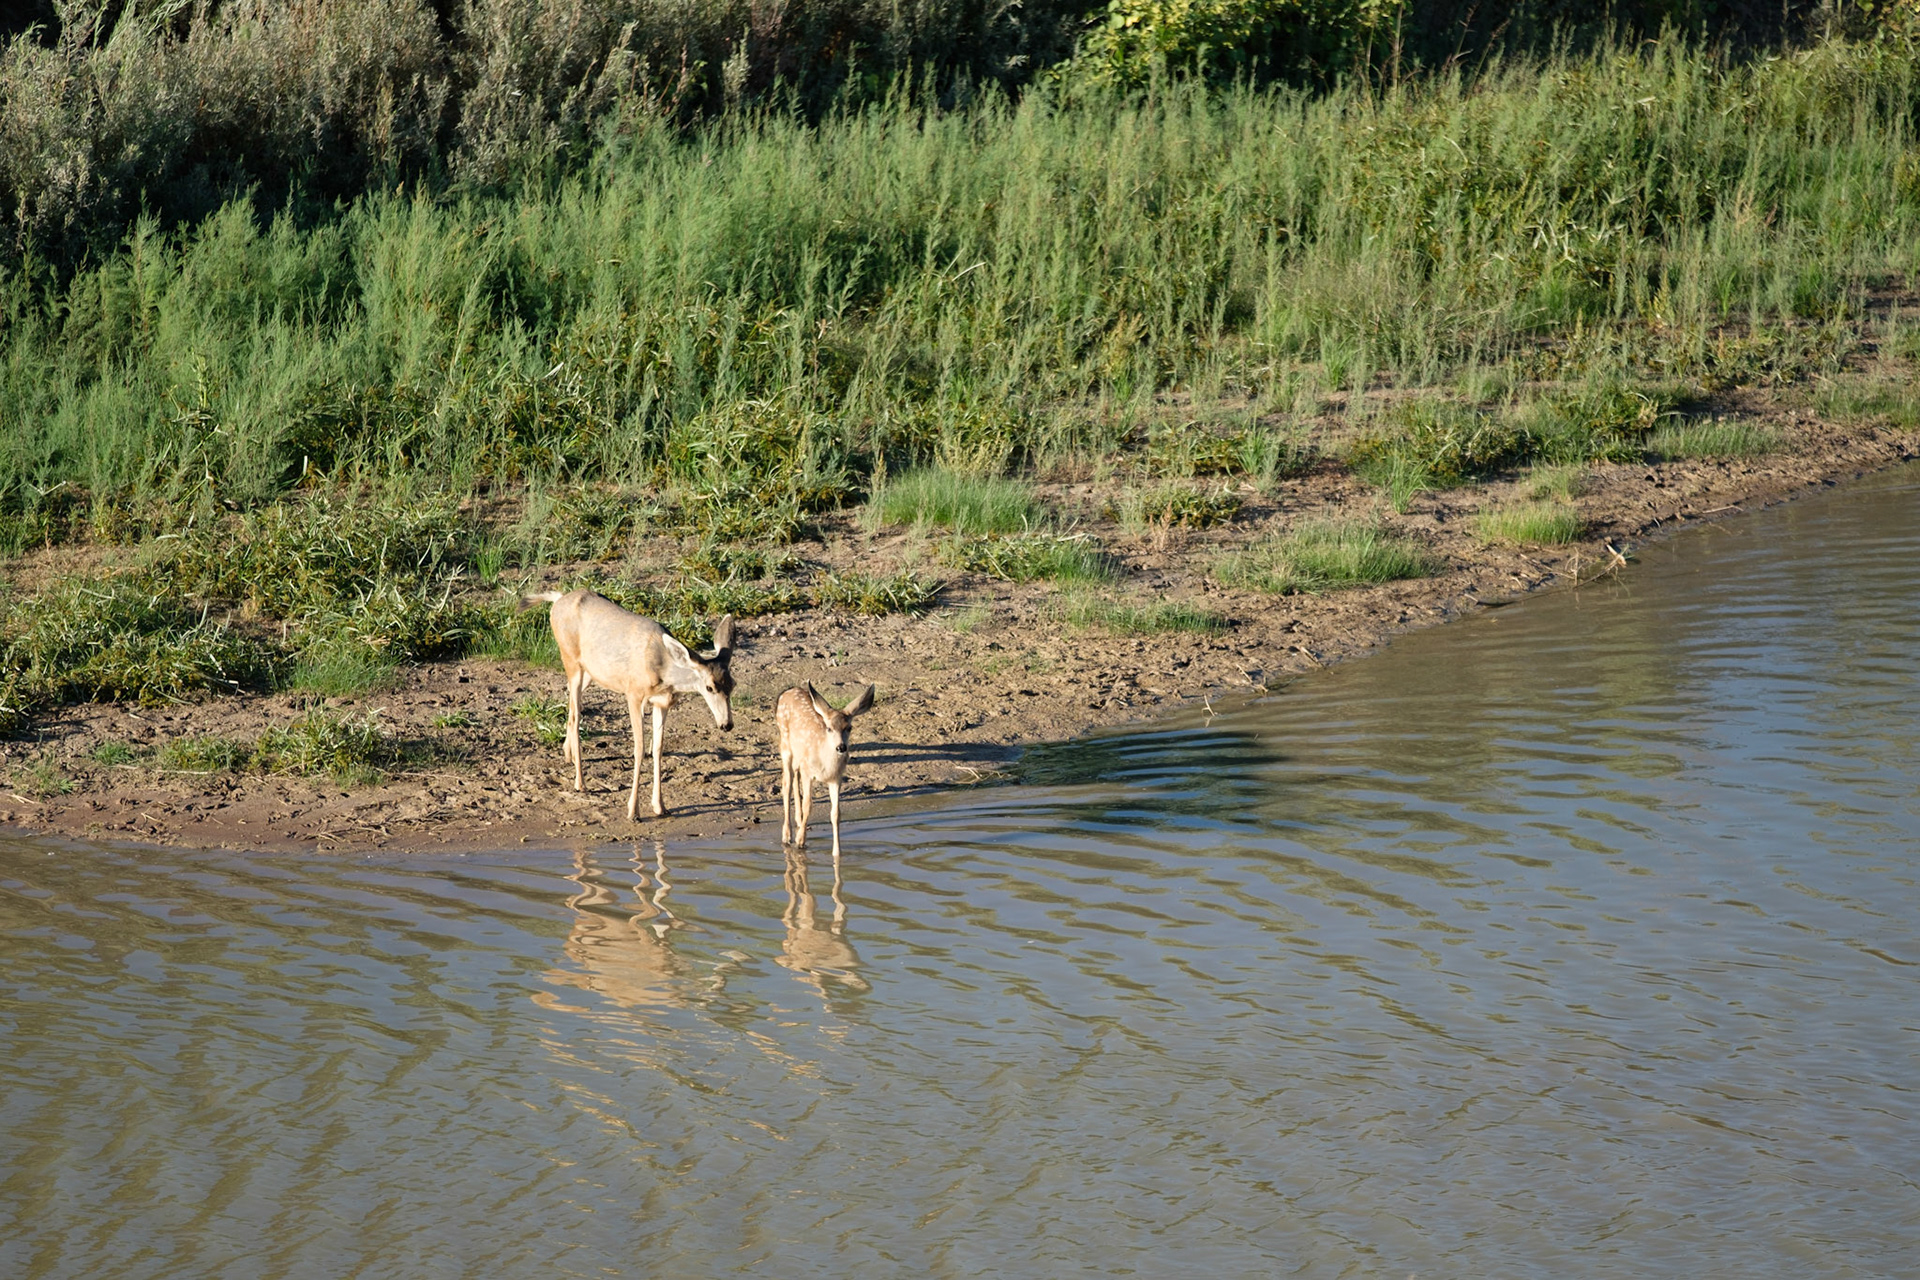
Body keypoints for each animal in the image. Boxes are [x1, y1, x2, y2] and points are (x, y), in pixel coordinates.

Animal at [521, 589, 735, 820]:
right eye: (709, 687)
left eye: (733, 684)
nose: (727, 725)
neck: (663, 670)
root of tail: (557, 600)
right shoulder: (634, 694)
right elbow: (639, 749)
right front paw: (633, 811)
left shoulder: (663, 703)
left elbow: (657, 748)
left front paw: (660, 806)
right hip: (570, 660)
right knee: (577, 716)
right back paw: (580, 783)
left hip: (590, 673)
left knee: (569, 705)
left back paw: (568, 755)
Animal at [776, 682, 876, 858]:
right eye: (829, 728)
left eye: (849, 727)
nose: (841, 747)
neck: (826, 766)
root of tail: (787, 691)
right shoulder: (808, 771)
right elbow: (808, 804)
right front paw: (800, 842)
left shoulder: (836, 778)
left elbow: (835, 813)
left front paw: (837, 853)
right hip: (785, 744)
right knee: (786, 784)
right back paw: (787, 836)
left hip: (798, 755)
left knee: (794, 778)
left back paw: (799, 822)